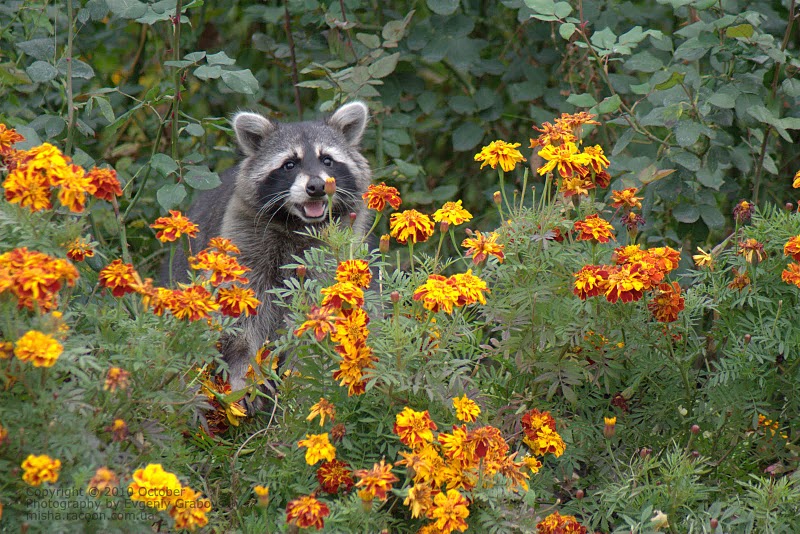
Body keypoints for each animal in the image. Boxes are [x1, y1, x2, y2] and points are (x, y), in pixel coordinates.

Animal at [172, 103, 372, 398]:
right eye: (289, 164)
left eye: (327, 160)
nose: (316, 187)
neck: (298, 224)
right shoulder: (243, 238)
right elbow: (241, 313)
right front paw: (243, 372)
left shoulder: (328, 256)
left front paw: (303, 376)